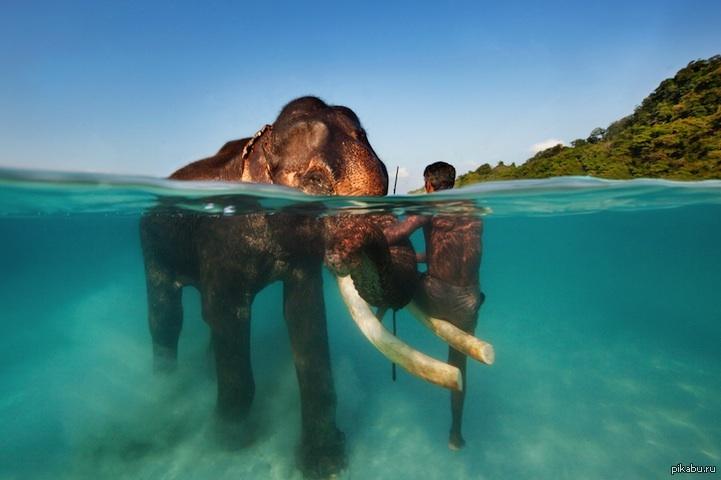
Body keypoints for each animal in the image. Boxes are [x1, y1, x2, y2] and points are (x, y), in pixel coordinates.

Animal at [140, 97, 488, 477]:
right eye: (315, 183)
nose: (341, 251)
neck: (261, 143)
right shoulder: (221, 242)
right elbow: (226, 313)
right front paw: (230, 439)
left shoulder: (301, 263)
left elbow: (304, 313)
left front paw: (325, 462)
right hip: (152, 246)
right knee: (168, 317)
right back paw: (165, 388)